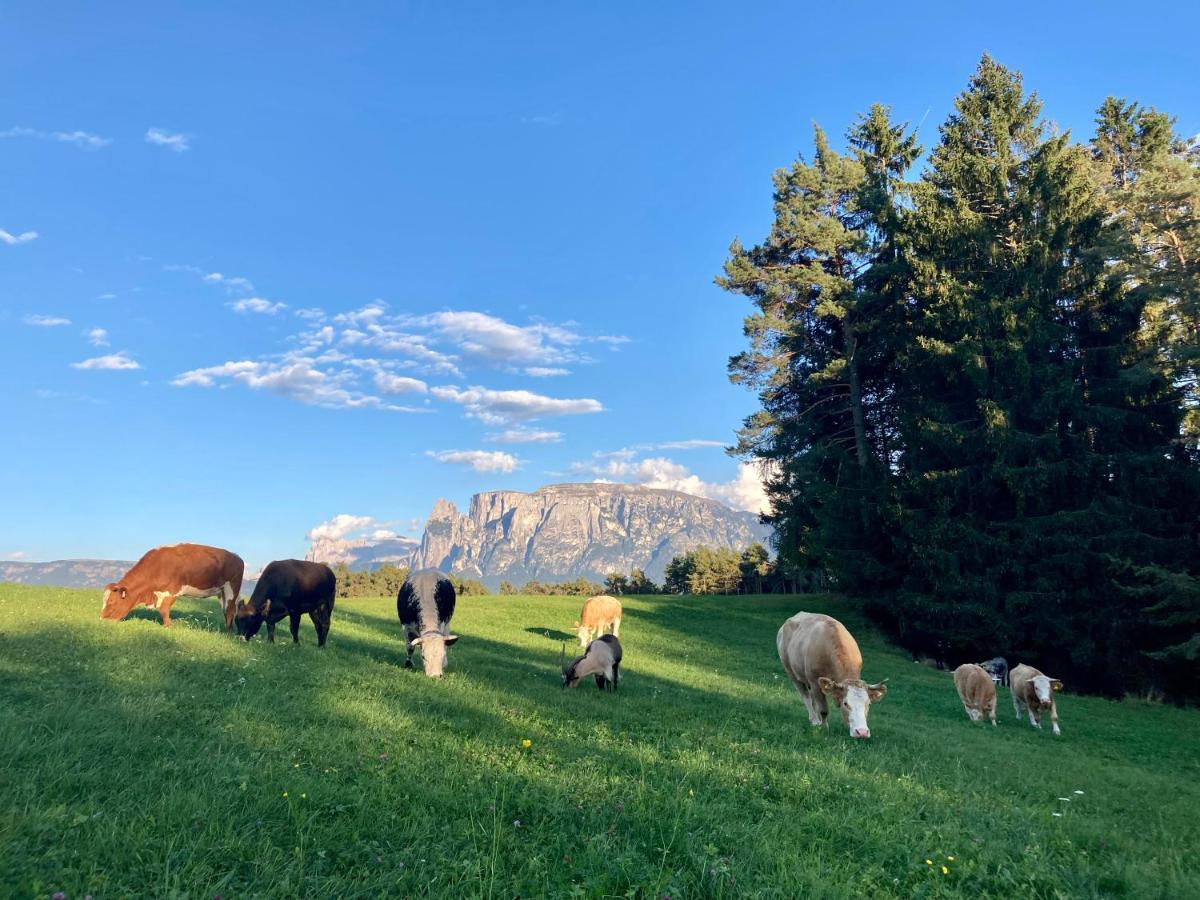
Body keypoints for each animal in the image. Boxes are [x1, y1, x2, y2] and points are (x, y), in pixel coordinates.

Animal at [101, 547, 246, 628]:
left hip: (231, 588)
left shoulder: (172, 591)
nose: (102, 619)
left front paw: (168, 626)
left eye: (111, 601)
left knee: (230, 610)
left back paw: (227, 632)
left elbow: (164, 610)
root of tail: (237, 557)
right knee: (226, 610)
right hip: (221, 592)